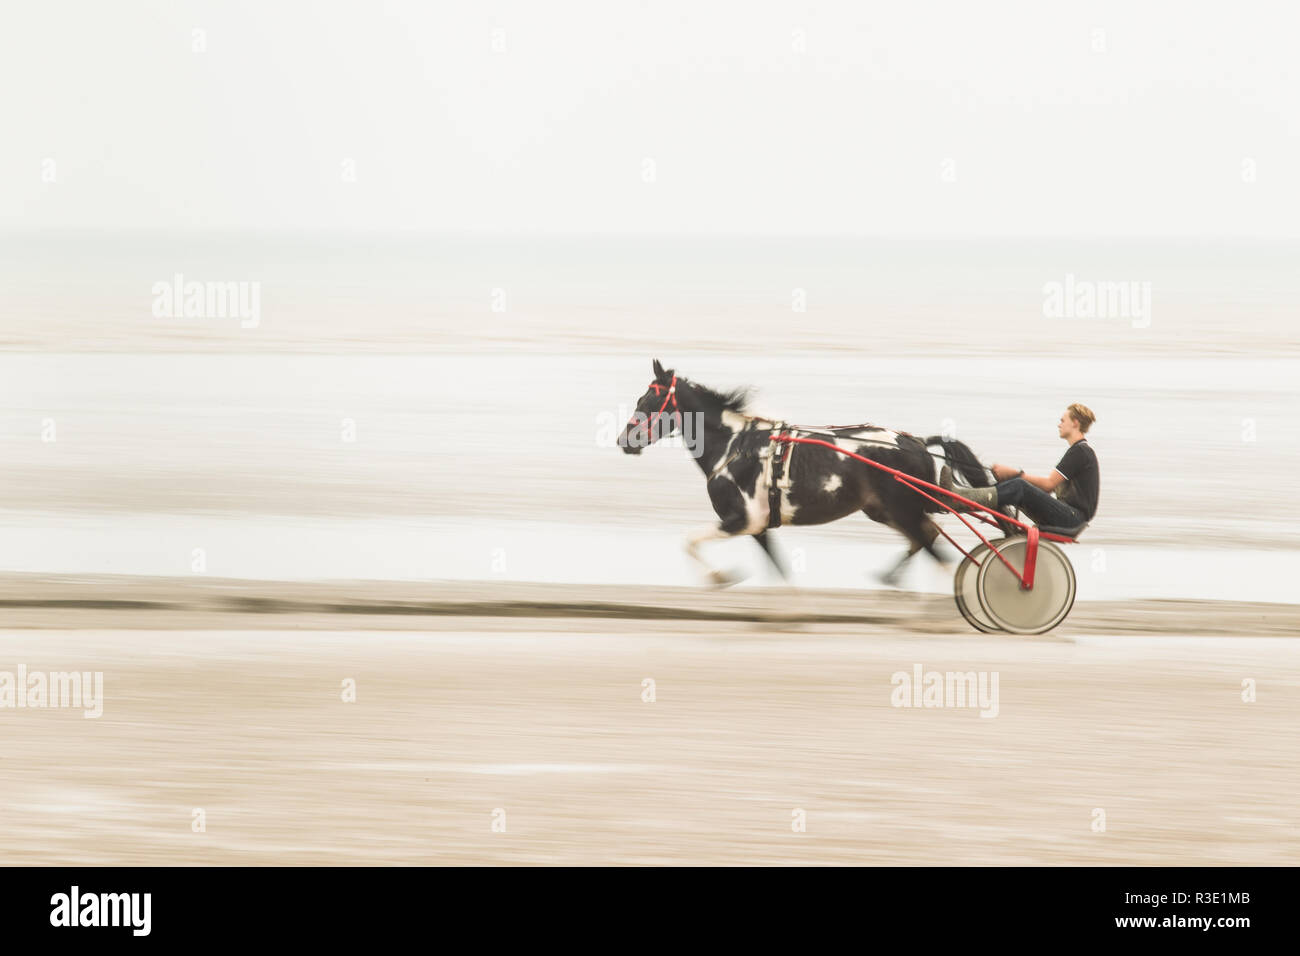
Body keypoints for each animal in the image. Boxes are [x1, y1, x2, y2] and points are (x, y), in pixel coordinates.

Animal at [613, 358, 987, 582]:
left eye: (647, 402)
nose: (623, 440)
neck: (735, 445)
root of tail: (916, 443)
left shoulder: (743, 519)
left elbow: (689, 541)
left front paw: (719, 577)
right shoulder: (759, 525)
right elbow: (779, 571)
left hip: (901, 509)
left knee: (933, 548)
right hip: (884, 510)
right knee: (926, 537)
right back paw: (890, 580)